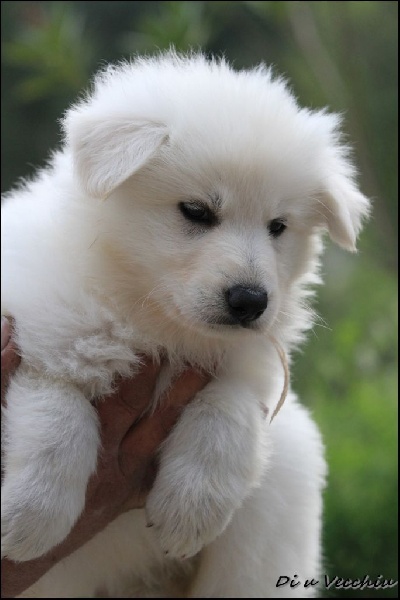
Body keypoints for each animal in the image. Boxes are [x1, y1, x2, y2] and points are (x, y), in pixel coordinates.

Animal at [1, 51, 370, 597]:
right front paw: (29, 521)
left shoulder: (247, 373)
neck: (153, 320)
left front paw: (188, 511)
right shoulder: (35, 336)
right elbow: (58, 414)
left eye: (278, 227)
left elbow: (226, 411)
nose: (251, 301)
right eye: (196, 211)